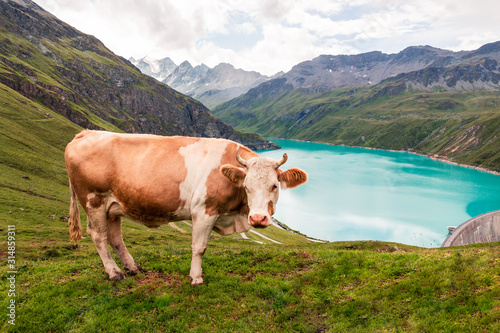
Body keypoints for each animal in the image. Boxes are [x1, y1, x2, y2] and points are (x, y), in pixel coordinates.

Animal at [64, 129, 306, 282]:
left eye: (274, 185)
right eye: (246, 186)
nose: (257, 218)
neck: (235, 216)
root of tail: (86, 133)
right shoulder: (204, 210)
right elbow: (199, 247)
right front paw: (196, 277)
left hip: (113, 206)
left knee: (115, 237)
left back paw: (133, 268)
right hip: (93, 200)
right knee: (99, 236)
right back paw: (114, 273)